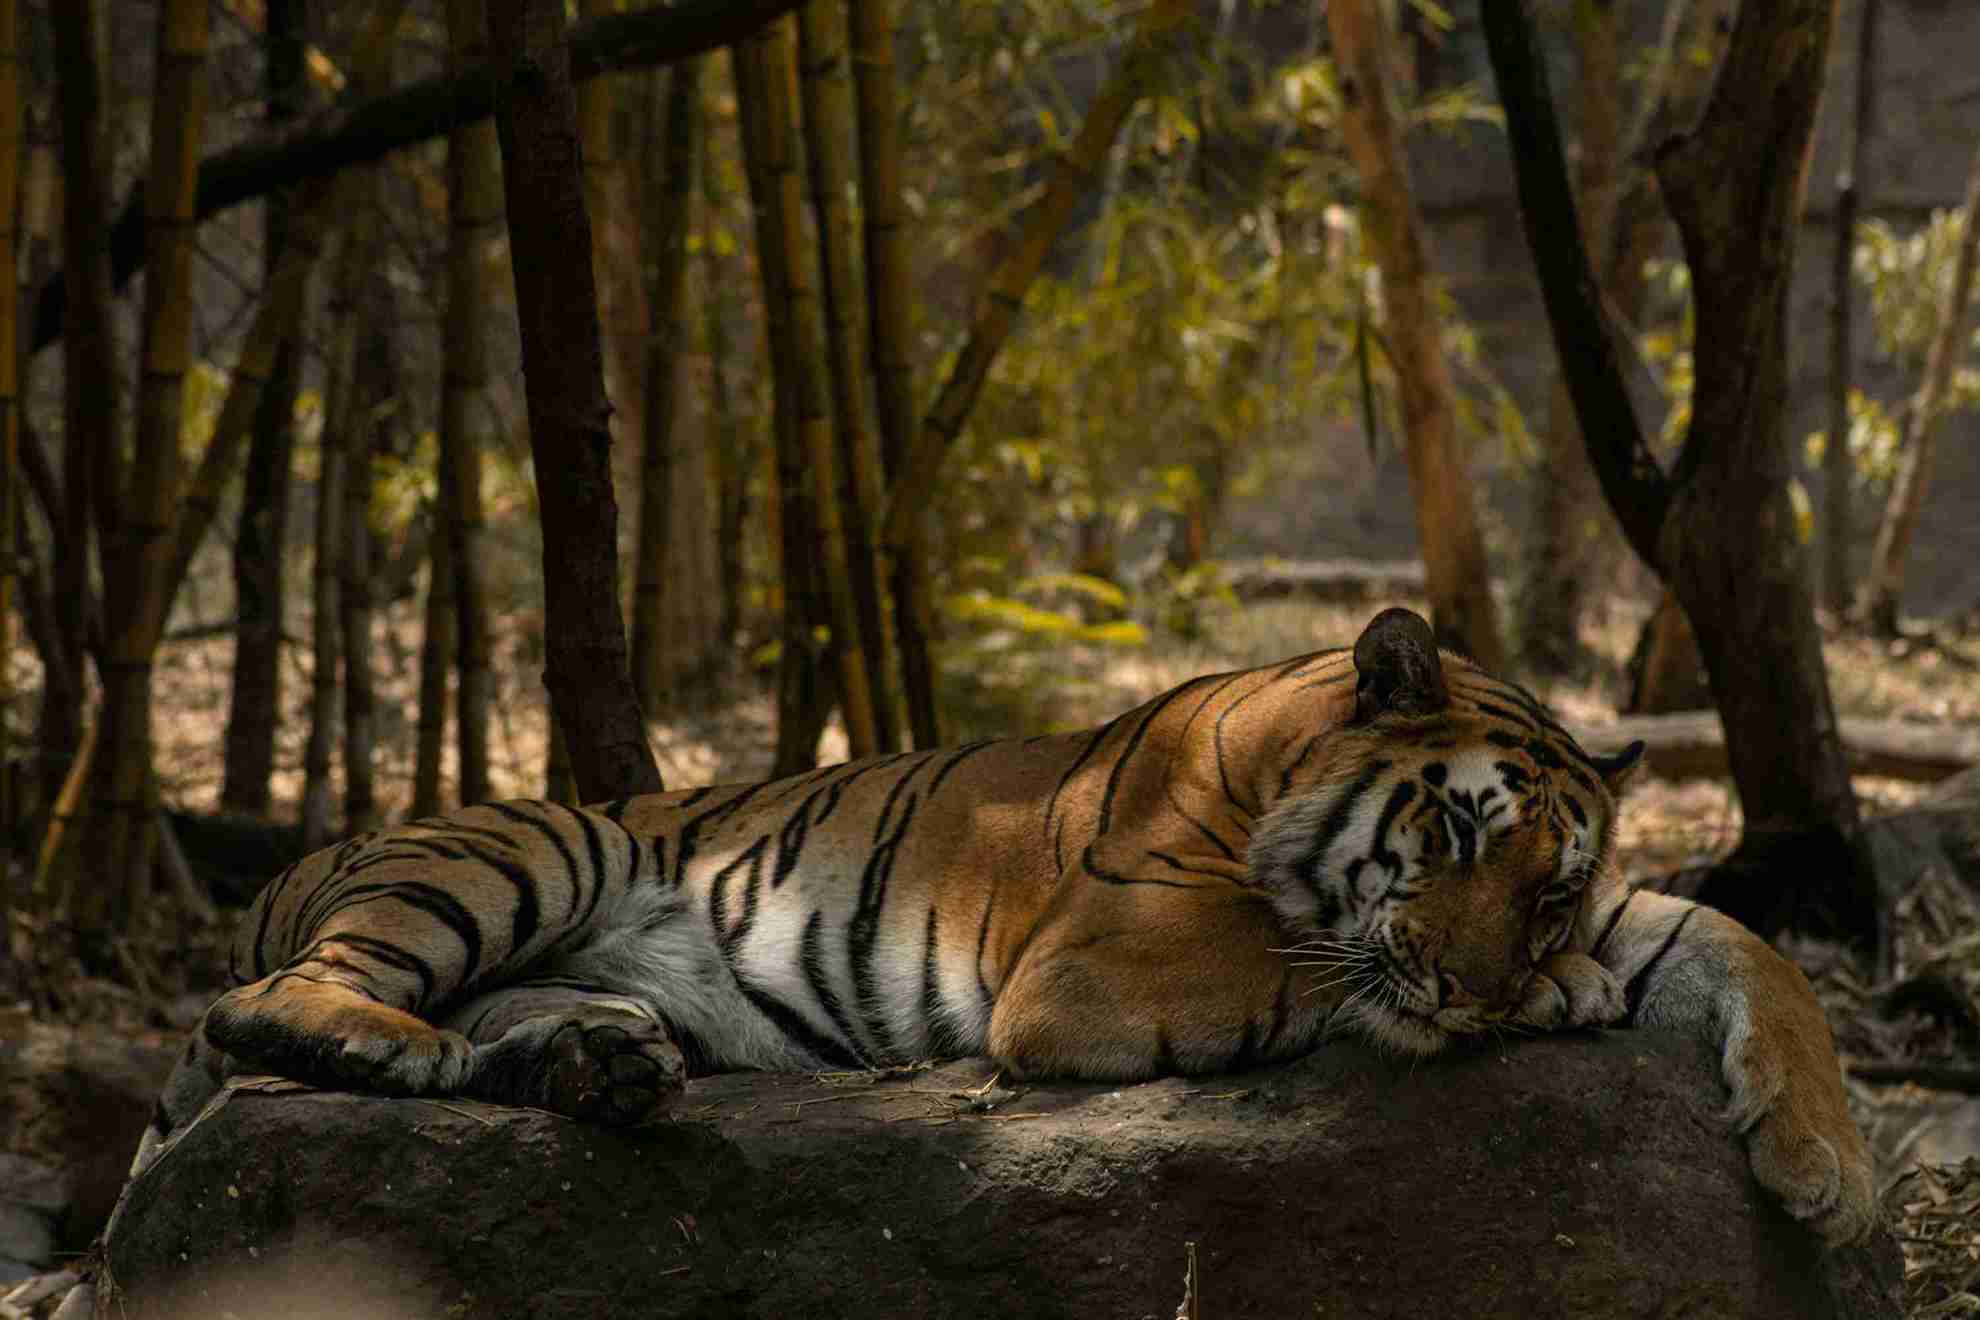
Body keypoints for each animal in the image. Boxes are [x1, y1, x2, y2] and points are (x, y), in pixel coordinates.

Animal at [131, 607, 1875, 1245]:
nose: (1483, 988)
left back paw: (593, 1064)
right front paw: (1550, 1001)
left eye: (1552, 877)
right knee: (271, 1006)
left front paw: (1825, 1169)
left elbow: (1751, 951)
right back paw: (425, 1045)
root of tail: (303, 860)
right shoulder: (1103, 966)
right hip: (529, 845)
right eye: (1449, 833)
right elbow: (1312, 958)